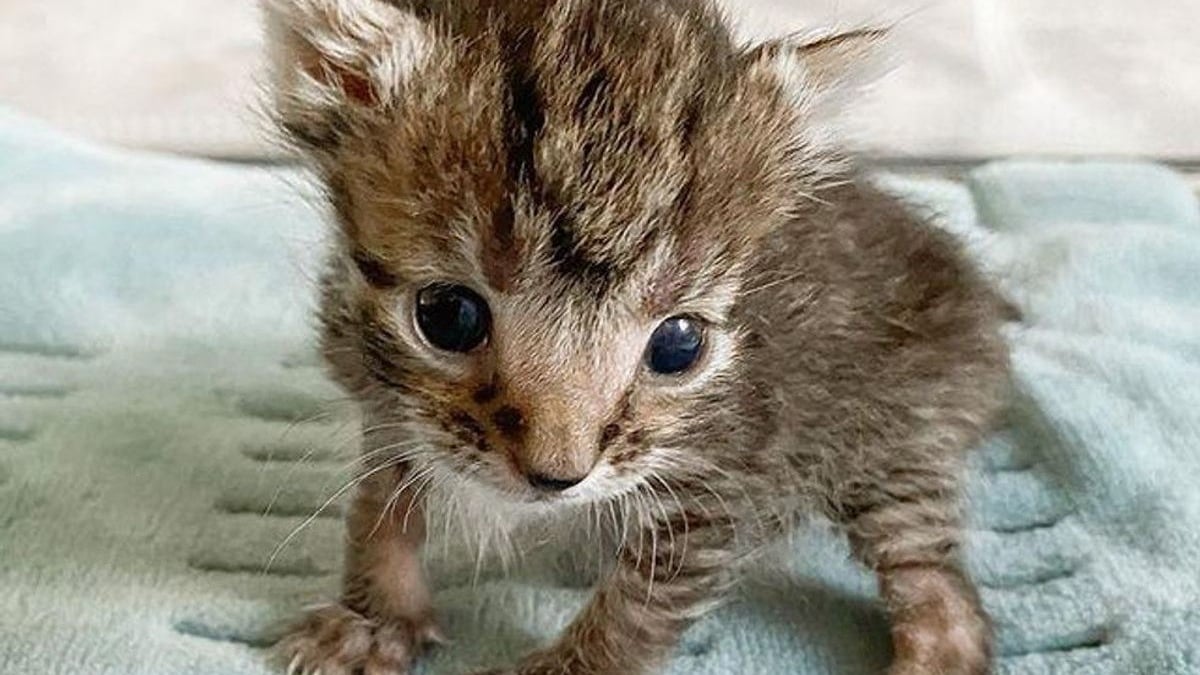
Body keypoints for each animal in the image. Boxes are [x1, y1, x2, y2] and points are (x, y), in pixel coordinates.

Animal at [267, 1, 1008, 672]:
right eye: (448, 315)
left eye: (678, 345)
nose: (557, 476)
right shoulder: (385, 398)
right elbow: (381, 505)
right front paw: (375, 618)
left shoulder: (721, 476)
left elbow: (640, 605)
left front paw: (573, 665)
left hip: (896, 441)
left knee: (939, 584)